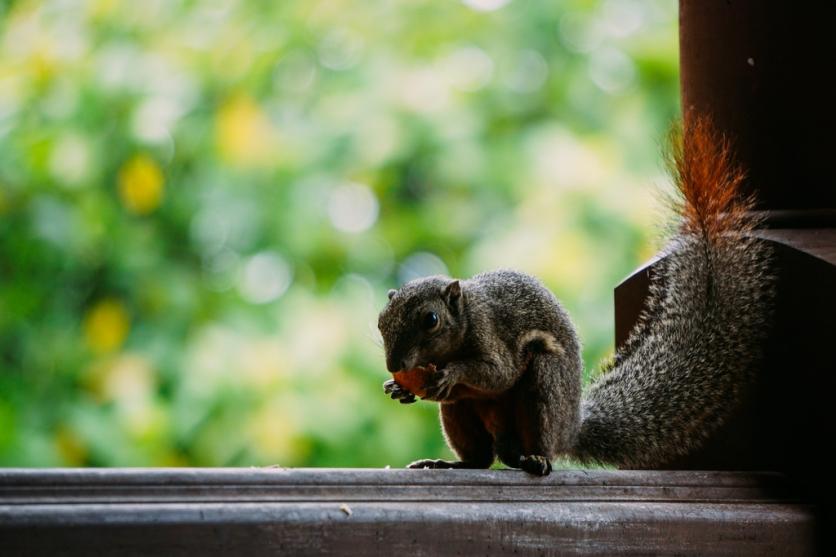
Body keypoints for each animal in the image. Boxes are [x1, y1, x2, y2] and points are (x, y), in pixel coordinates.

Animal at [376, 117, 772, 474]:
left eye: (431, 319)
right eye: (380, 323)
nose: (395, 364)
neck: (466, 316)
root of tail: (571, 429)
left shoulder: (491, 334)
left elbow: (498, 372)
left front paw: (450, 372)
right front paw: (398, 389)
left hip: (544, 387)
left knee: (529, 445)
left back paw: (537, 460)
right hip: (460, 414)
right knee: (483, 459)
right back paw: (452, 463)